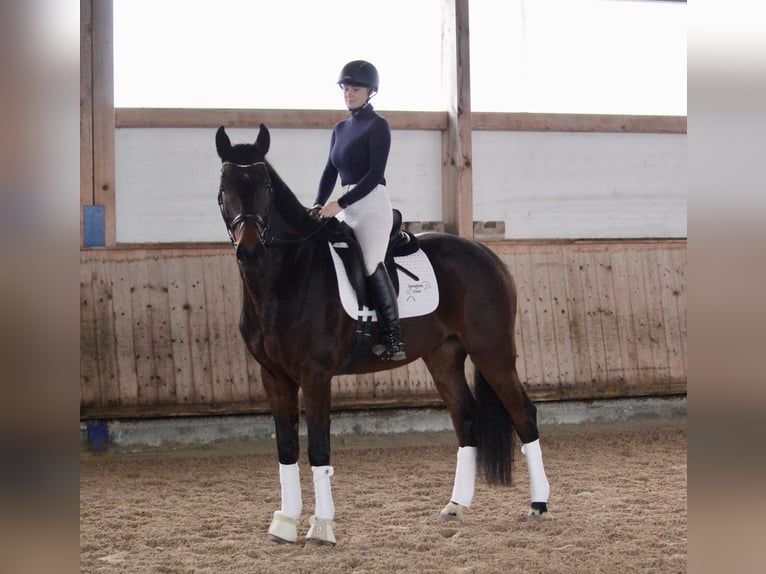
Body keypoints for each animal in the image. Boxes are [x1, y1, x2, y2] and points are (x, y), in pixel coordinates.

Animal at [216, 124, 552, 548]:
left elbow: (318, 448)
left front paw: (321, 527)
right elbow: (287, 448)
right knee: (466, 418)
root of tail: (487, 256)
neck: (288, 275)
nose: (250, 250)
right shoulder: (273, 376)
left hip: (492, 352)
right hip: (443, 357)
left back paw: (539, 505)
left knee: (523, 413)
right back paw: (455, 506)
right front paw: (285, 523)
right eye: (225, 186)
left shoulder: (315, 375)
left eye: (265, 187)